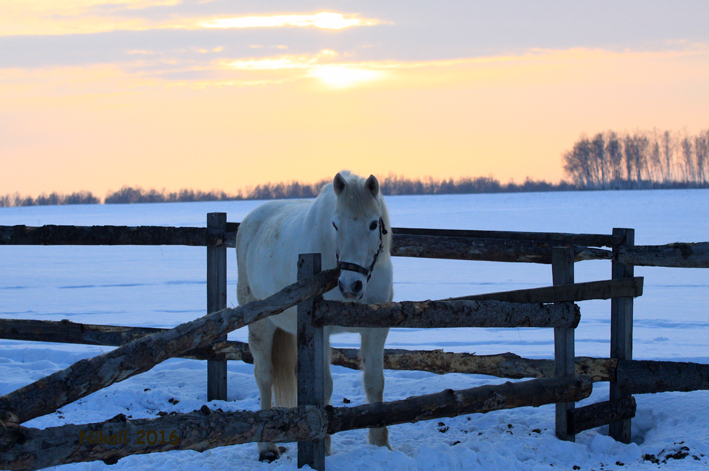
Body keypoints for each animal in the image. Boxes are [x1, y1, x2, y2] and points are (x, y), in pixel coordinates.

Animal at [236, 171, 392, 460]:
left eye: (374, 224)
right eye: (335, 224)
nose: (350, 286)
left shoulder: (376, 327)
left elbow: (375, 382)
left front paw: (380, 444)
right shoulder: (323, 328)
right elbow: (325, 386)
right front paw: (325, 447)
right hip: (260, 323)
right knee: (264, 375)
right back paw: (266, 446)